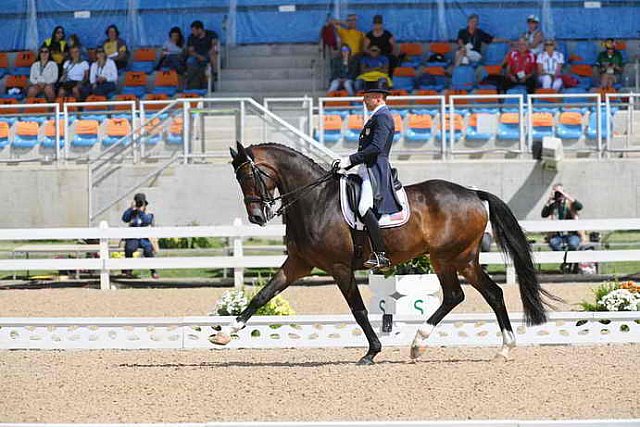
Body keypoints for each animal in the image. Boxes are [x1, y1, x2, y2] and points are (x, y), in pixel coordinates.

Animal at [212, 142, 552, 366]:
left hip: (448, 257)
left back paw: (426, 343)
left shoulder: (340, 268)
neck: (316, 200)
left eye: (250, 175)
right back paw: (494, 347)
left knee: (464, 294)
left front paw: (372, 351)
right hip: (460, 260)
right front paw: (225, 334)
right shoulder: (299, 264)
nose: (257, 217)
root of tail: (474, 193)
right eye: (238, 178)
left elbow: (359, 310)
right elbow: (262, 296)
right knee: (482, 294)